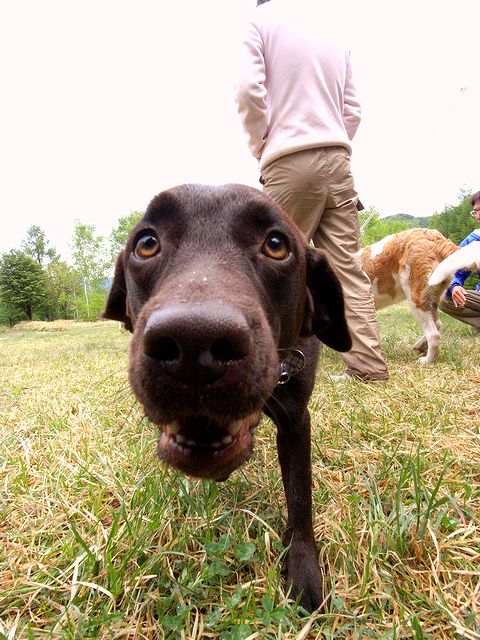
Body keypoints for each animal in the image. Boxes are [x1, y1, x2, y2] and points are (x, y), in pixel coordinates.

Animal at [105, 184, 350, 608]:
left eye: (275, 245)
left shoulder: (296, 420)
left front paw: (303, 568)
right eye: (147, 243)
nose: (193, 343)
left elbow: (300, 495)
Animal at [362, 228, 478, 362]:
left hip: (416, 298)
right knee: (437, 324)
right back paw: (420, 346)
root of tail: (437, 238)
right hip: (431, 297)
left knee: (433, 334)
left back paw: (427, 361)